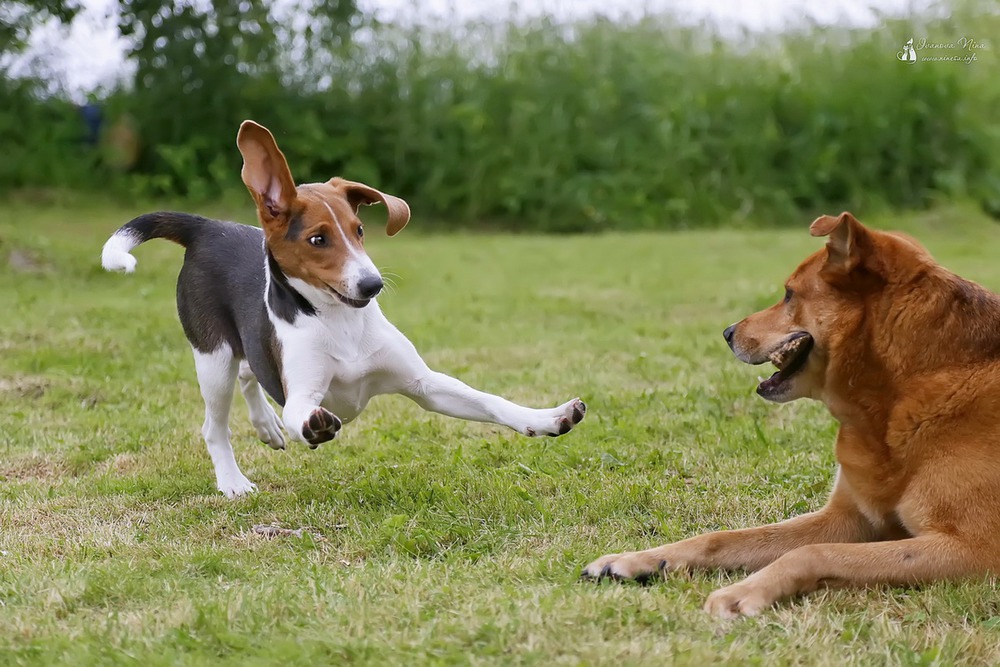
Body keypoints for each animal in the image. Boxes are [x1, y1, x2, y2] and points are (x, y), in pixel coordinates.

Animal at [101, 121, 584, 496]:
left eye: (359, 230)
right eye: (318, 239)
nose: (373, 284)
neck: (341, 322)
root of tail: (206, 227)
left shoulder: (425, 384)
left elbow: (492, 401)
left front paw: (547, 418)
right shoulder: (304, 392)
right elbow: (300, 411)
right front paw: (308, 429)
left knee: (249, 372)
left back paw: (266, 425)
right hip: (211, 356)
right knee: (215, 422)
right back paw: (233, 481)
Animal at [584, 211, 1000, 620]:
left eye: (788, 294)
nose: (727, 332)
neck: (902, 390)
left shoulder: (976, 550)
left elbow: (811, 552)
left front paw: (744, 591)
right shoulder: (847, 519)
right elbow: (723, 537)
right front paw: (638, 559)